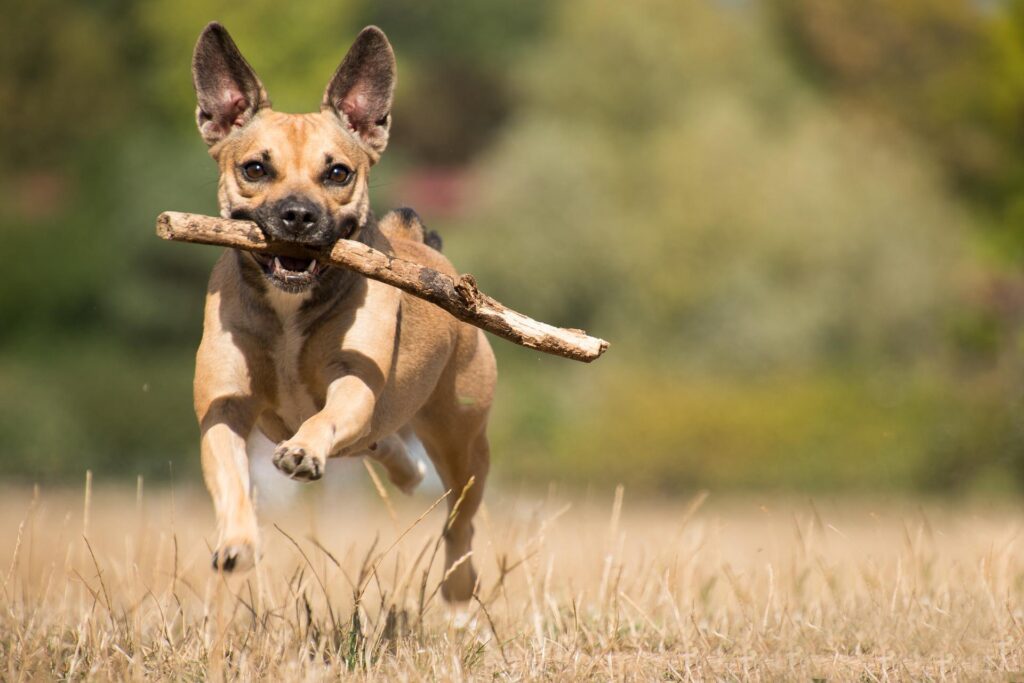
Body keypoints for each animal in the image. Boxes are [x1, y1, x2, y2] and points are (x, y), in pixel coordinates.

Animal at [192, 21, 499, 602]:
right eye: (255, 168)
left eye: (337, 173)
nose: (298, 214)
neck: (289, 305)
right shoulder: (225, 404)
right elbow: (229, 474)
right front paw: (236, 542)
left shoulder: (353, 382)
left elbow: (328, 415)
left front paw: (302, 451)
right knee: (385, 446)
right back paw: (404, 470)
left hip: (461, 439)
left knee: (462, 519)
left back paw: (458, 584)